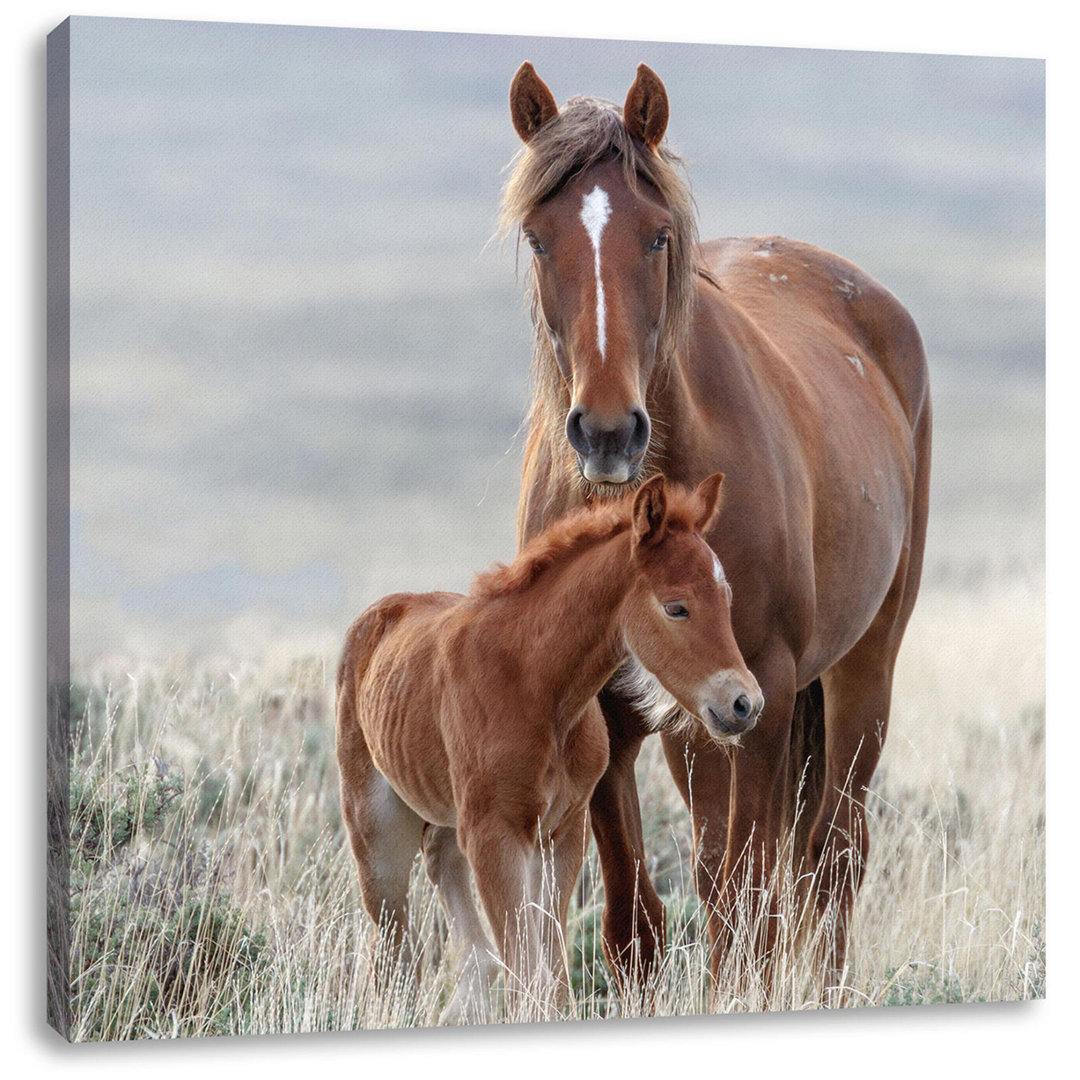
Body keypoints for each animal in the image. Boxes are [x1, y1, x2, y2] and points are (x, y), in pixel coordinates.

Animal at [334, 475, 760, 1019]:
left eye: (726, 599)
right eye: (676, 607)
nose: (744, 704)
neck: (538, 687)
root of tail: (376, 615)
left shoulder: (561, 833)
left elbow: (550, 975)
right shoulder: (495, 835)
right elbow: (526, 972)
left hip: (451, 819)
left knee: (448, 885)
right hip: (377, 830)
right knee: (392, 944)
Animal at [501, 61, 933, 989]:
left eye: (658, 237)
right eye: (538, 237)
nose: (607, 433)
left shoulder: (763, 691)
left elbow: (750, 902)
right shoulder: (611, 708)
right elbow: (637, 921)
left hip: (859, 674)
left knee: (831, 856)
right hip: (698, 726)